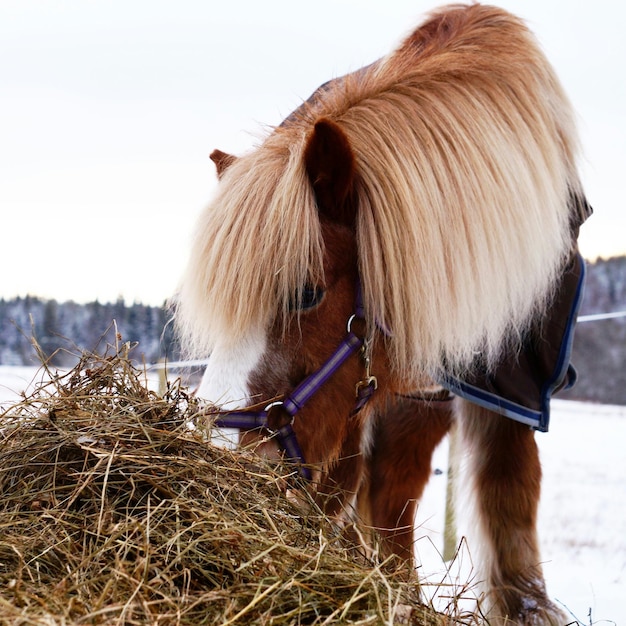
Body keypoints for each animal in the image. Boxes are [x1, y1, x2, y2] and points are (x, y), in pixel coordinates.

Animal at [173, 3, 588, 620]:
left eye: (307, 293)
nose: (214, 457)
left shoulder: (507, 384)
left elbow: (507, 489)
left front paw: (524, 608)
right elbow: (362, 496)